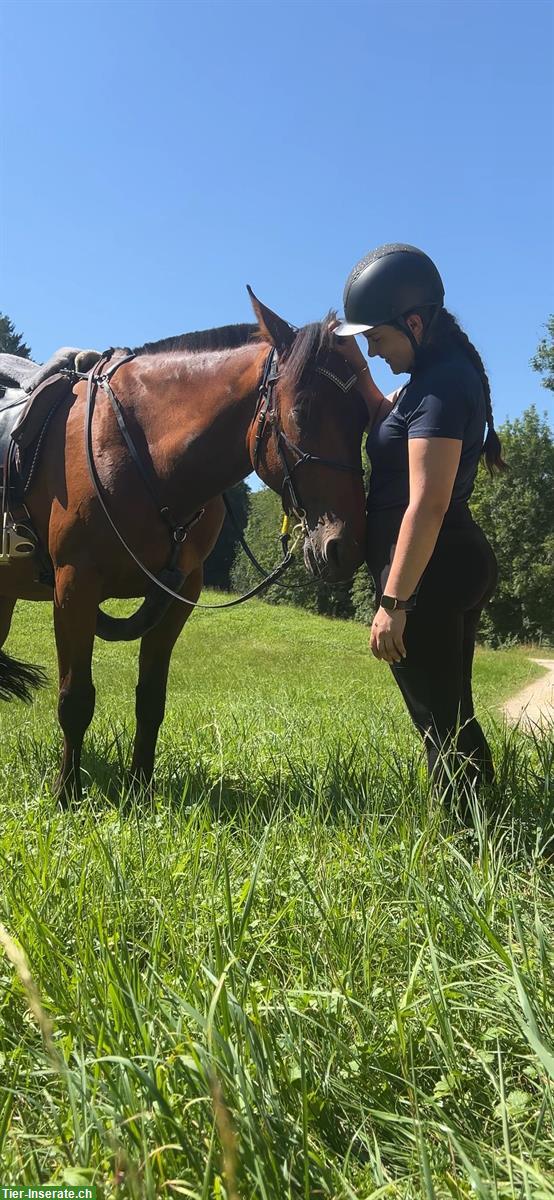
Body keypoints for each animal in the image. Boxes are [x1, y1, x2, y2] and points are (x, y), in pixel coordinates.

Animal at [0, 291, 366, 801]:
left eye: (365, 417)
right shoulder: (74, 586)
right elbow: (76, 699)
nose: (344, 545)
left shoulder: (179, 595)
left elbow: (151, 699)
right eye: (302, 412)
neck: (146, 455)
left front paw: (140, 788)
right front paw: (67, 794)